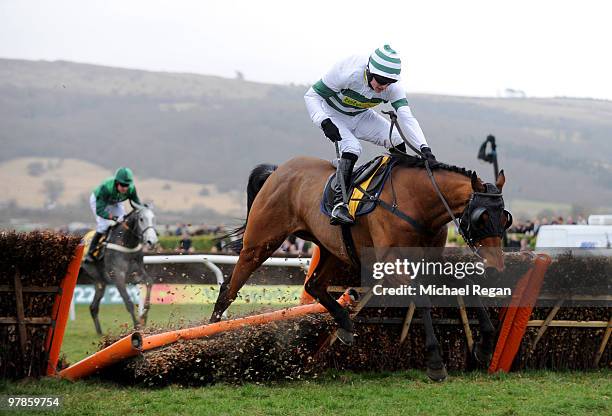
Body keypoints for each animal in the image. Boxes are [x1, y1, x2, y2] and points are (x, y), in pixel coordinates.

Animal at [79, 203, 159, 336]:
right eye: (141, 219)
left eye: (153, 218)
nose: (151, 241)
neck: (126, 243)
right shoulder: (117, 276)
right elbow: (129, 302)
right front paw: (137, 327)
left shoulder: (136, 274)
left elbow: (149, 282)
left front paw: (143, 316)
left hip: (100, 281)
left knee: (93, 306)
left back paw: (100, 333)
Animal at [210, 154, 512, 382]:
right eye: (482, 217)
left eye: (505, 219)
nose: (495, 267)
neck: (418, 203)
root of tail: (277, 171)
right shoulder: (390, 265)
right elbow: (422, 299)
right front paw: (436, 361)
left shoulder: (431, 259)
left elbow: (464, 286)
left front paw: (485, 344)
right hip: (260, 242)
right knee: (228, 289)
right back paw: (210, 339)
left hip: (333, 250)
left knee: (314, 285)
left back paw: (344, 323)